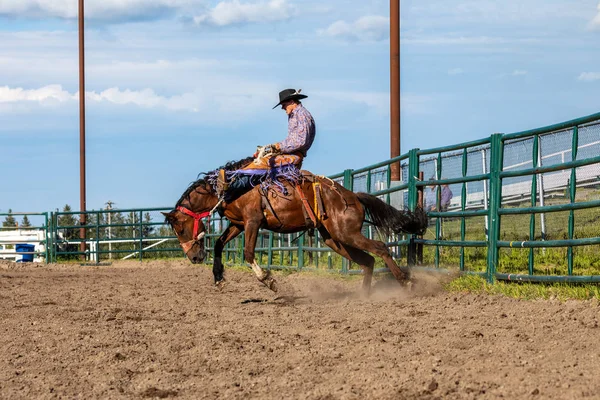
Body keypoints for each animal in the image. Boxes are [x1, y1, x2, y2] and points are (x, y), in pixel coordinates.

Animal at [164, 159, 426, 294]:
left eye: (180, 229)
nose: (194, 258)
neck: (231, 187)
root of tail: (353, 196)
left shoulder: (252, 222)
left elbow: (248, 253)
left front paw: (268, 280)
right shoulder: (238, 224)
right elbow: (219, 244)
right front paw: (219, 278)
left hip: (347, 233)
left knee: (380, 248)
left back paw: (406, 283)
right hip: (334, 239)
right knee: (368, 260)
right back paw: (364, 295)